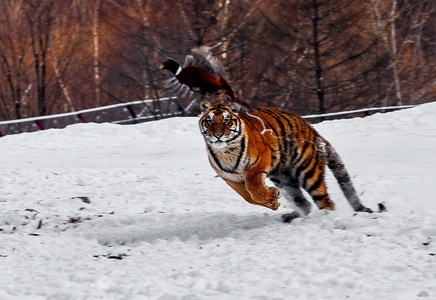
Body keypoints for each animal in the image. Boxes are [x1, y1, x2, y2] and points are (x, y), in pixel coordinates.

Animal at [198, 103, 372, 223]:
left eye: (227, 121)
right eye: (209, 121)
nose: (218, 135)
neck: (226, 152)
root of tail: (314, 132)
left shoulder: (261, 159)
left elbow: (253, 185)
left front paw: (271, 197)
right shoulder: (230, 178)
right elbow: (249, 197)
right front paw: (273, 201)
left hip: (308, 174)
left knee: (326, 202)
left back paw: (326, 218)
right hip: (284, 178)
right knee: (304, 203)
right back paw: (291, 217)